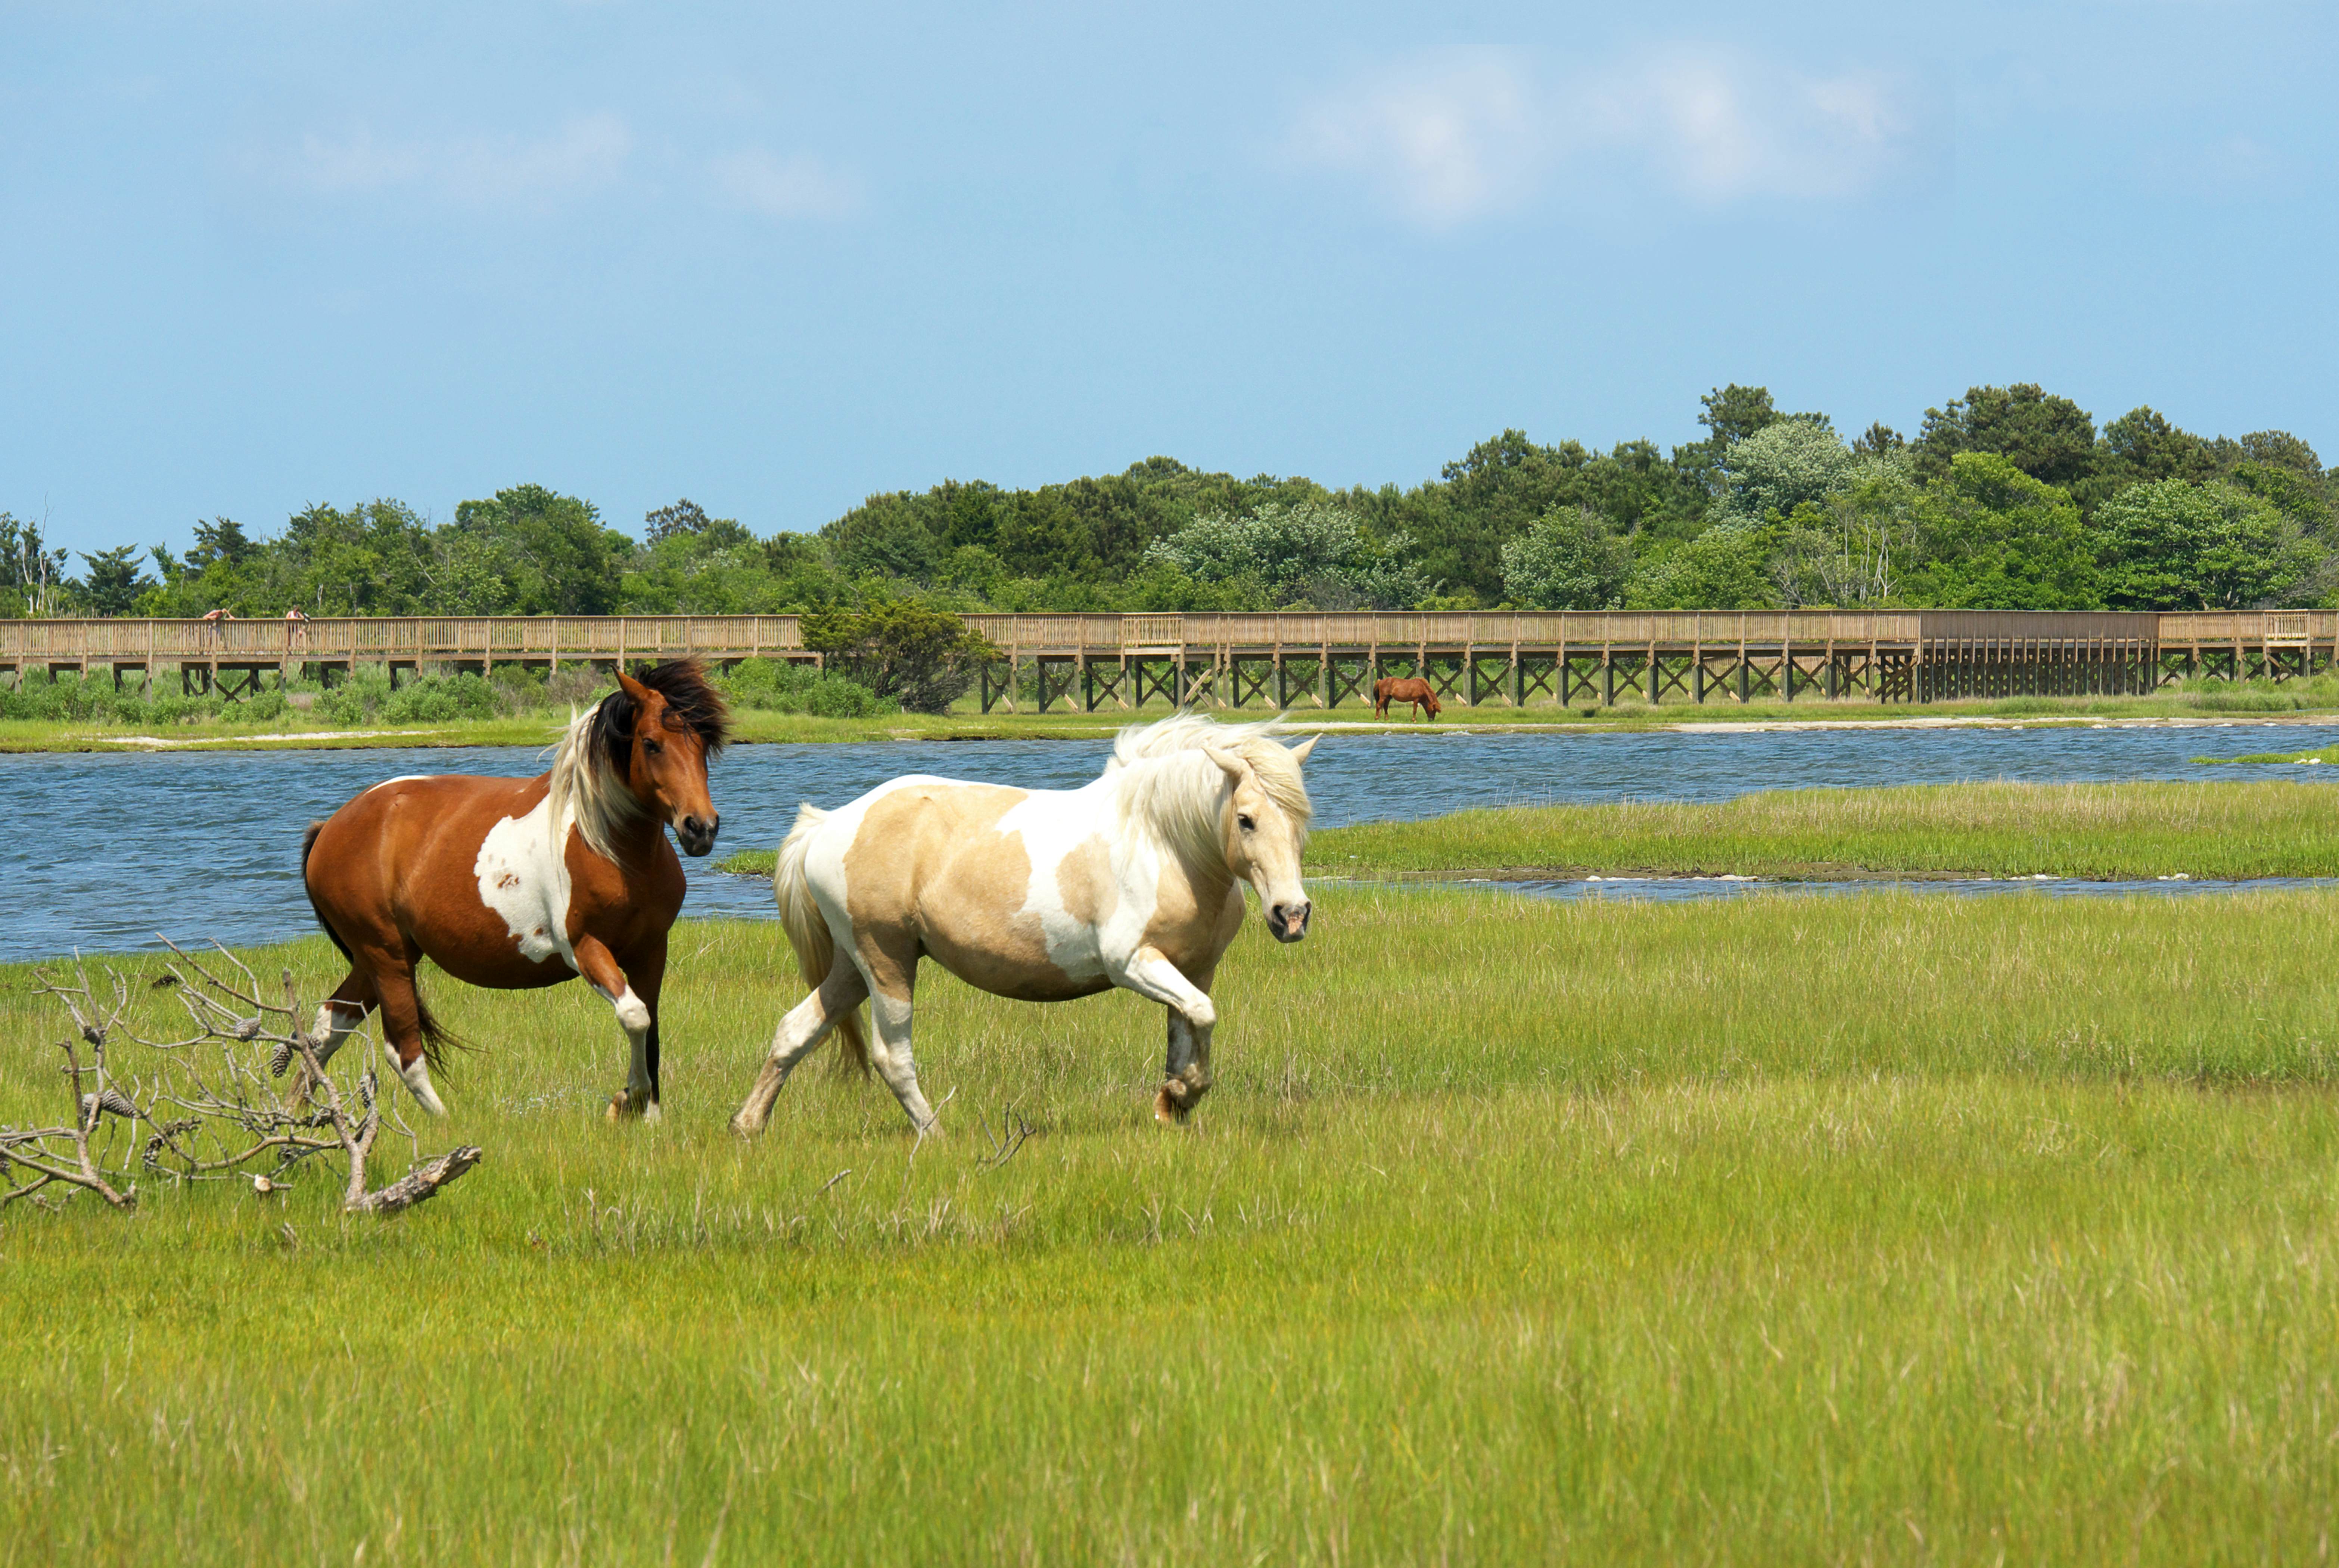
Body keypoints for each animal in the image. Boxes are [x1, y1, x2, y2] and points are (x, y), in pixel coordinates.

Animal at [302, 660, 725, 1119]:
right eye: (651, 744)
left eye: (704, 743)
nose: (700, 828)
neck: (608, 847)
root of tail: (331, 827)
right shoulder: (585, 949)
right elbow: (635, 1016)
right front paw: (628, 1099)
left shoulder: (651, 949)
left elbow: (651, 1032)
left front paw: (648, 1115)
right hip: (387, 958)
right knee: (403, 1052)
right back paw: (446, 1122)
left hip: (378, 958)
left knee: (328, 1026)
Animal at [730, 716, 1319, 1142]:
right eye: (1245, 819)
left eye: (1301, 818)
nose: (1291, 915)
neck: (1163, 843)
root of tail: (829, 824)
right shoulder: (1133, 964)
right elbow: (1203, 1016)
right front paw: (1183, 1094)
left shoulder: (1194, 968)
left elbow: (1188, 1029)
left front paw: (1171, 1102)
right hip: (886, 962)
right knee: (891, 1056)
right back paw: (936, 1135)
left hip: (854, 967)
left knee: (794, 1031)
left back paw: (748, 1125)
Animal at [1366, 674, 1441, 725]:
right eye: (1433, 710)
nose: (1431, 720)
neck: (1421, 687)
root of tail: (1381, 681)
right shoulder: (1416, 700)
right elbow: (1415, 710)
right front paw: (1414, 720)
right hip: (1383, 697)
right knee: (1379, 706)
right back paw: (1376, 718)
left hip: (1388, 698)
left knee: (1386, 707)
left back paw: (1387, 719)